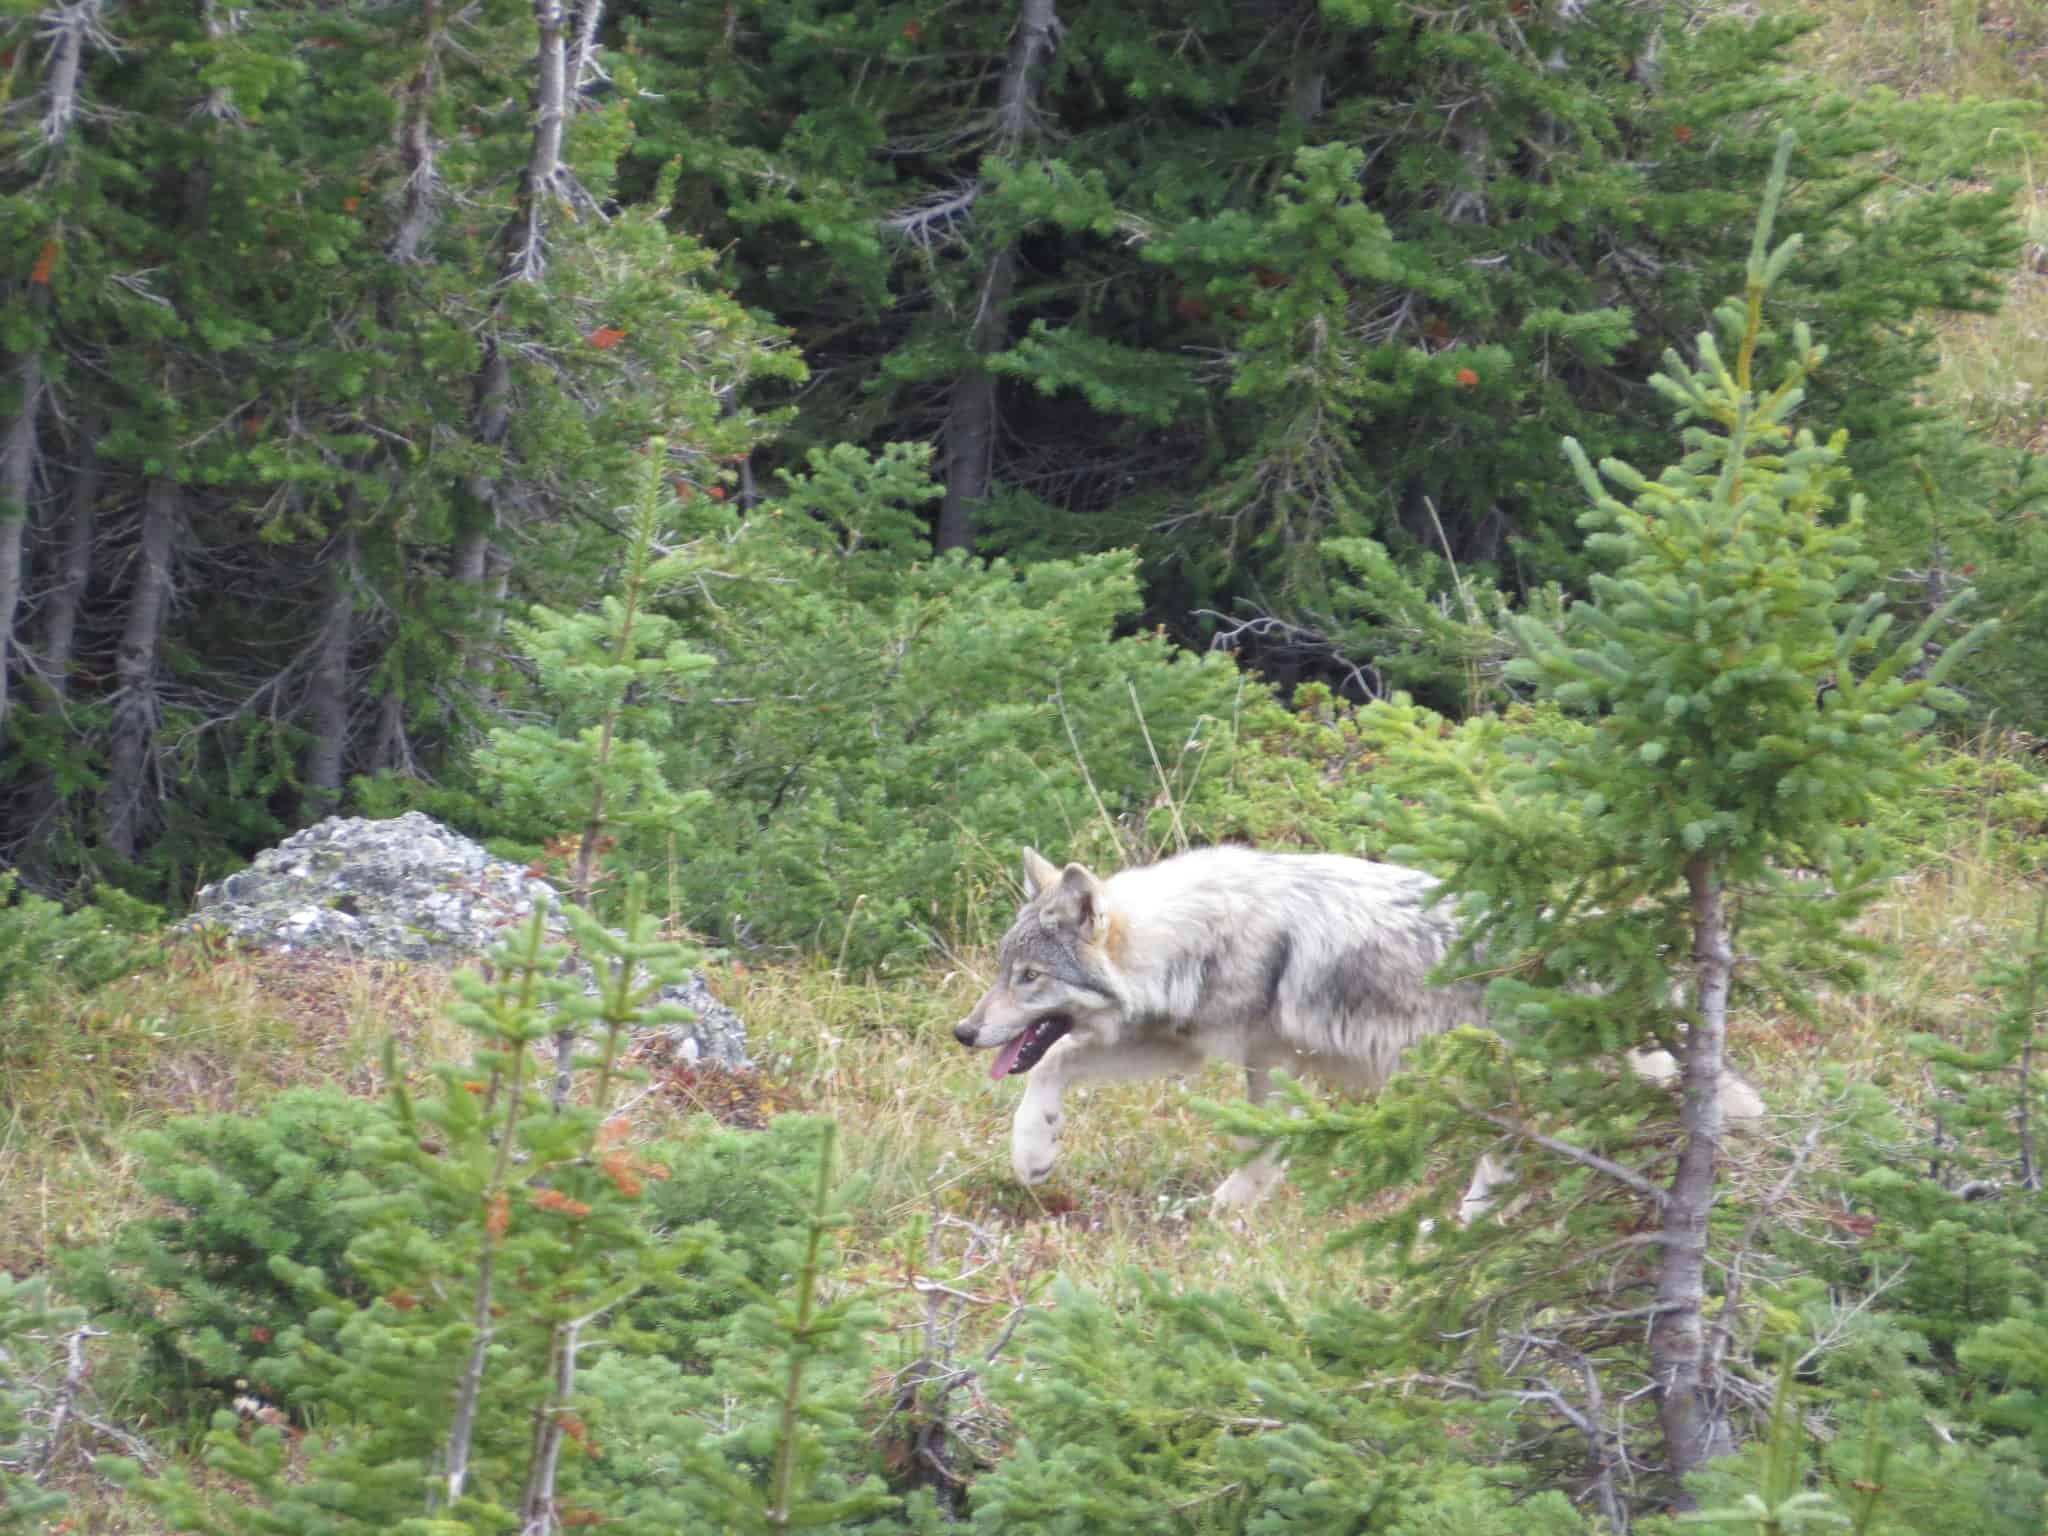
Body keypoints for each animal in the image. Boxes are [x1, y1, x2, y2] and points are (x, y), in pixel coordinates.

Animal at [958, 847, 1761, 1212]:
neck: (1192, 939)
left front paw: (1225, 1208)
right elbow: (1055, 1064)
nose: (964, 1033)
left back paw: (1461, 1225)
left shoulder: (1263, 1058)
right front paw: (1034, 1153)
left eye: (1028, 978)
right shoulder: (1196, 1049)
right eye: (1003, 970)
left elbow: (1261, 1145)